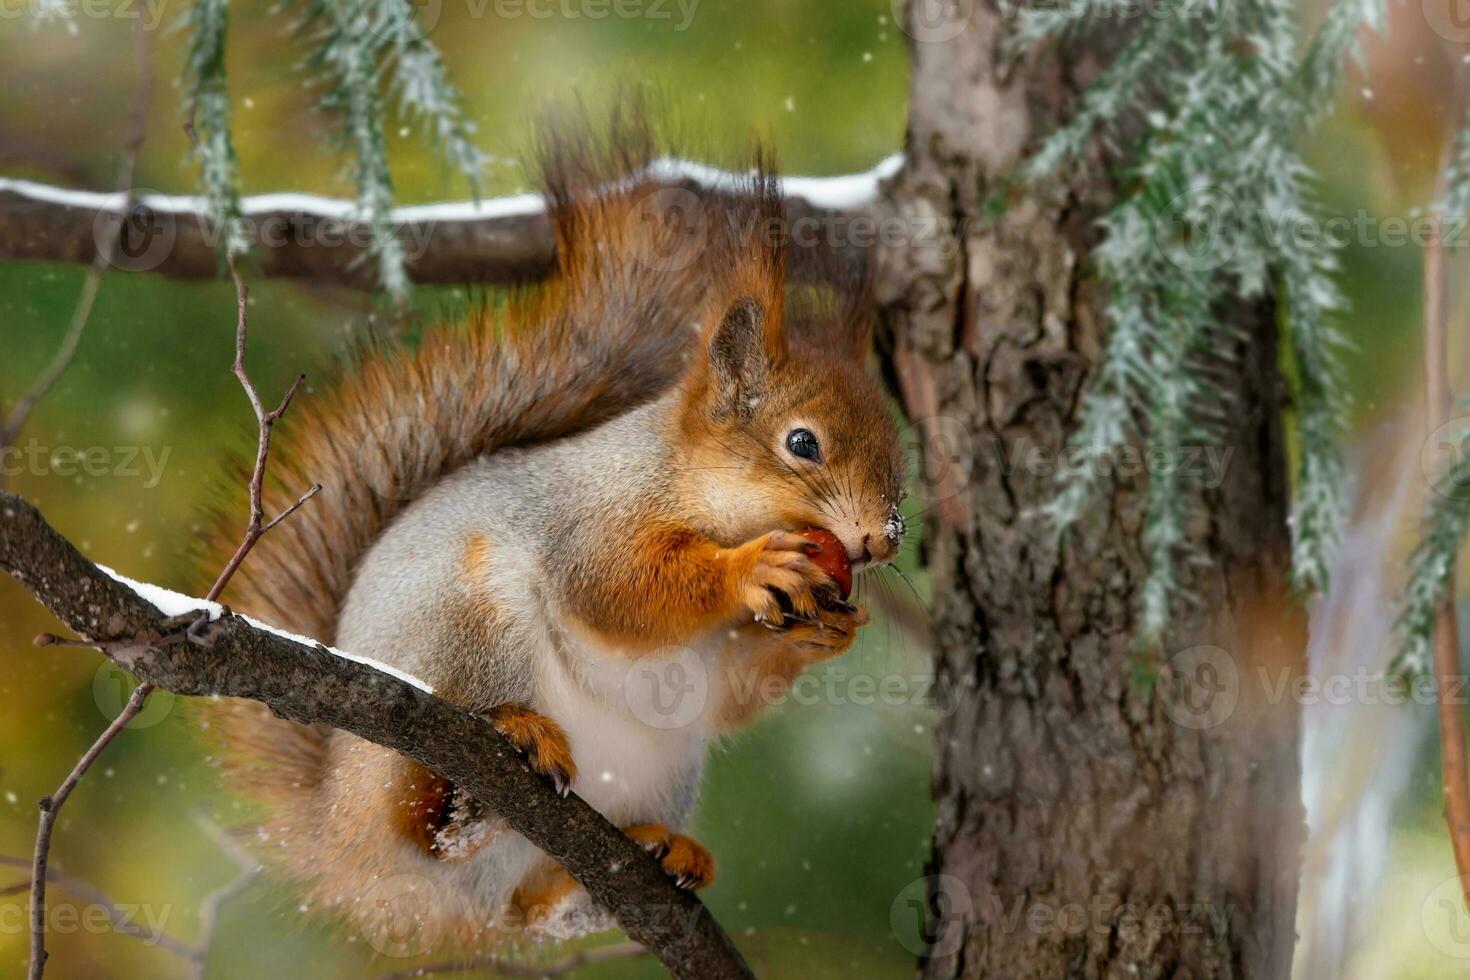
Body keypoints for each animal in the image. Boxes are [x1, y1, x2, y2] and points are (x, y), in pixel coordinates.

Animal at [196, 109, 905, 957]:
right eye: (803, 443)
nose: (886, 538)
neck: (691, 486)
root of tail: (339, 842)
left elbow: (730, 696)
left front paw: (829, 631)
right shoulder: (592, 519)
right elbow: (617, 592)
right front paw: (754, 570)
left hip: (658, 771)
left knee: (525, 910)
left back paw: (638, 864)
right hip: (464, 628)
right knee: (419, 825)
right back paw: (495, 762)